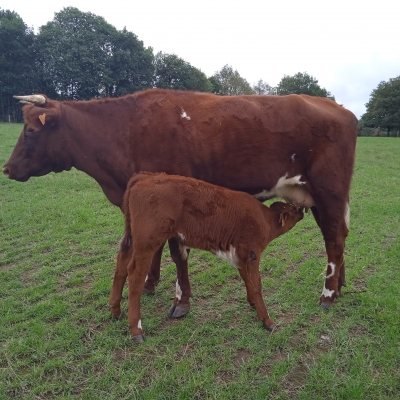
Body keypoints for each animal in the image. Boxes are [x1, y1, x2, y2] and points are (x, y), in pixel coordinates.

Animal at [1, 89, 358, 310]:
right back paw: (340, 285)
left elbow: (177, 252)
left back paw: (327, 294)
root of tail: (338, 108)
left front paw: (180, 300)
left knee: (334, 239)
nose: (7, 168)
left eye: (30, 131)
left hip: (328, 191)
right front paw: (149, 283)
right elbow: (157, 247)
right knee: (340, 236)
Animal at [109, 172, 304, 340]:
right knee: (135, 275)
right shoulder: (252, 253)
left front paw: (252, 303)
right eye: (292, 211)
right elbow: (256, 284)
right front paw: (267, 320)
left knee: (121, 265)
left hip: (131, 238)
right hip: (147, 242)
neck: (264, 219)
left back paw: (115, 310)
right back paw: (136, 330)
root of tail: (145, 177)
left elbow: (246, 278)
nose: (302, 210)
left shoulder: (241, 255)